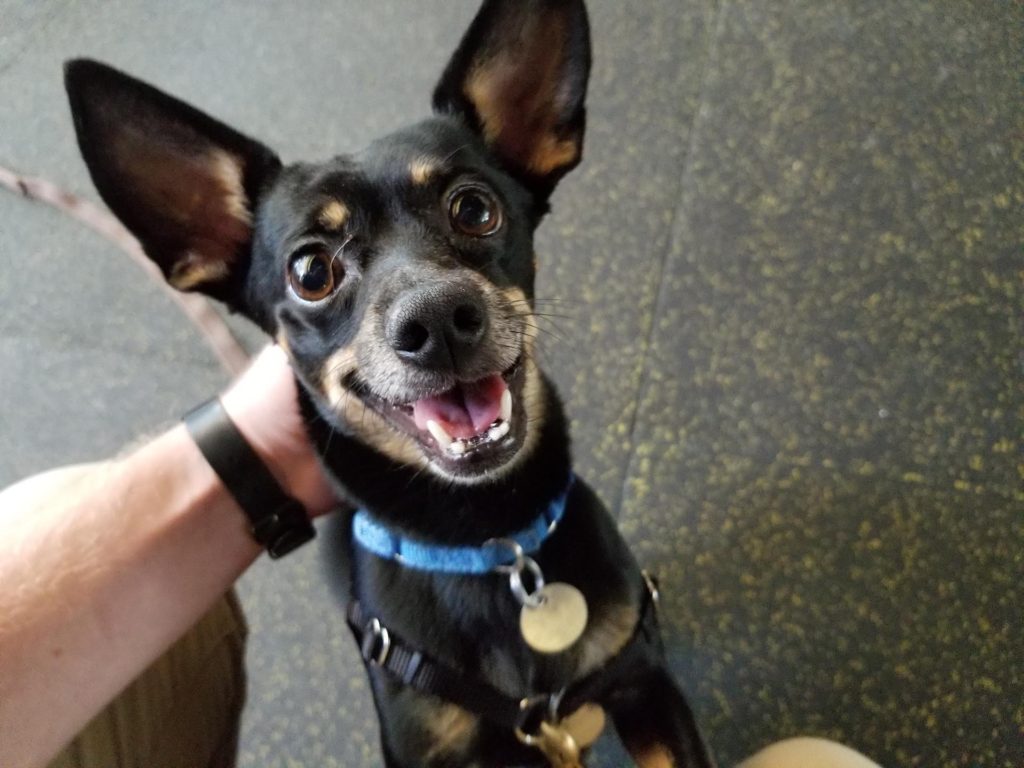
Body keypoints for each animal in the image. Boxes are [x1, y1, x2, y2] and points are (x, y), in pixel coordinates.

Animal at [68, 1, 716, 768]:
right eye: (310, 271)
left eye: (474, 209)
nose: (436, 319)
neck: (489, 544)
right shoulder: (426, 749)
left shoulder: (643, 684)